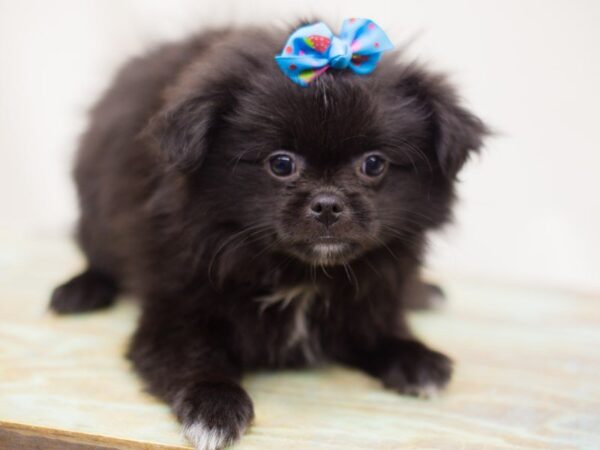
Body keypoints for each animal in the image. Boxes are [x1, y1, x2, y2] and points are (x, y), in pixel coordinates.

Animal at [50, 20, 488, 450]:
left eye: (374, 164)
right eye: (281, 164)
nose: (327, 203)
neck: (303, 276)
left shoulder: (373, 293)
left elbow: (380, 327)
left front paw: (415, 358)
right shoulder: (174, 308)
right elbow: (195, 356)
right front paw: (214, 405)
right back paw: (80, 291)